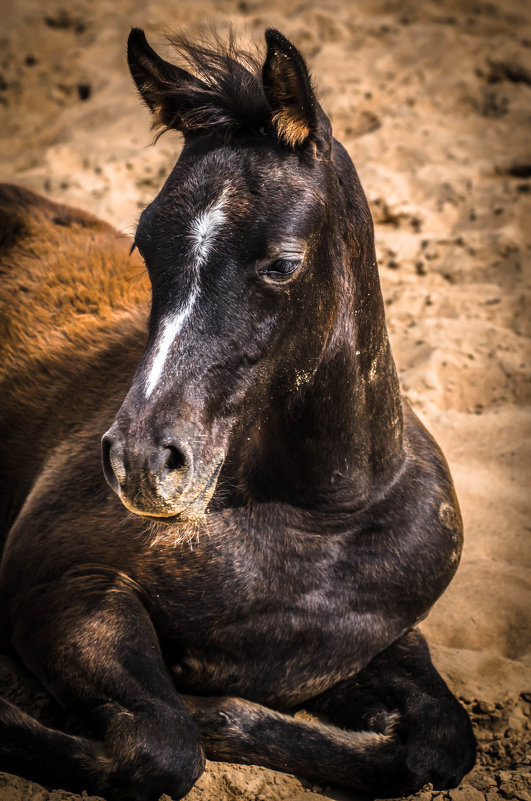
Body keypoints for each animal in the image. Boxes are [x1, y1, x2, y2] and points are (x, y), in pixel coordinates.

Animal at [0, 25, 474, 800]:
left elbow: (437, 744)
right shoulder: (59, 584)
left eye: (282, 263)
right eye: (144, 245)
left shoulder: (384, 640)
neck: (322, 523)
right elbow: (163, 744)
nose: (141, 461)